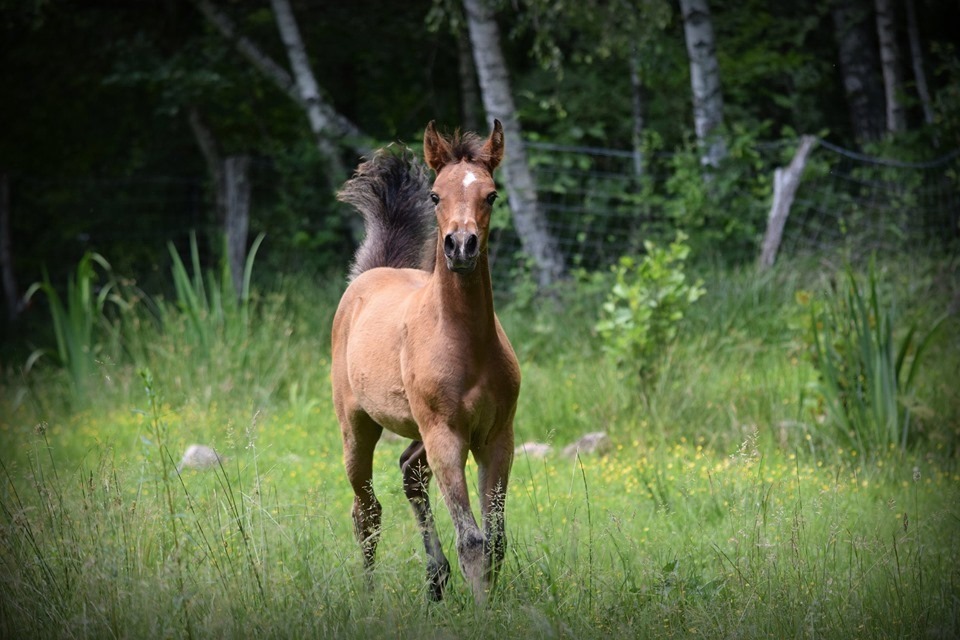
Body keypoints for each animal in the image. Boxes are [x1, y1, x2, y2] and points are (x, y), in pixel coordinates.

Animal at [332, 121, 524, 604]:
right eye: (435, 195)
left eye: (492, 195)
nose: (461, 246)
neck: (466, 345)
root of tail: (369, 275)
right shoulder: (445, 435)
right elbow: (472, 538)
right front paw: (482, 609)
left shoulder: (497, 437)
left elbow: (496, 537)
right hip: (357, 427)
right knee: (366, 510)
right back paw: (370, 594)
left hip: (420, 431)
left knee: (410, 473)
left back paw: (436, 578)